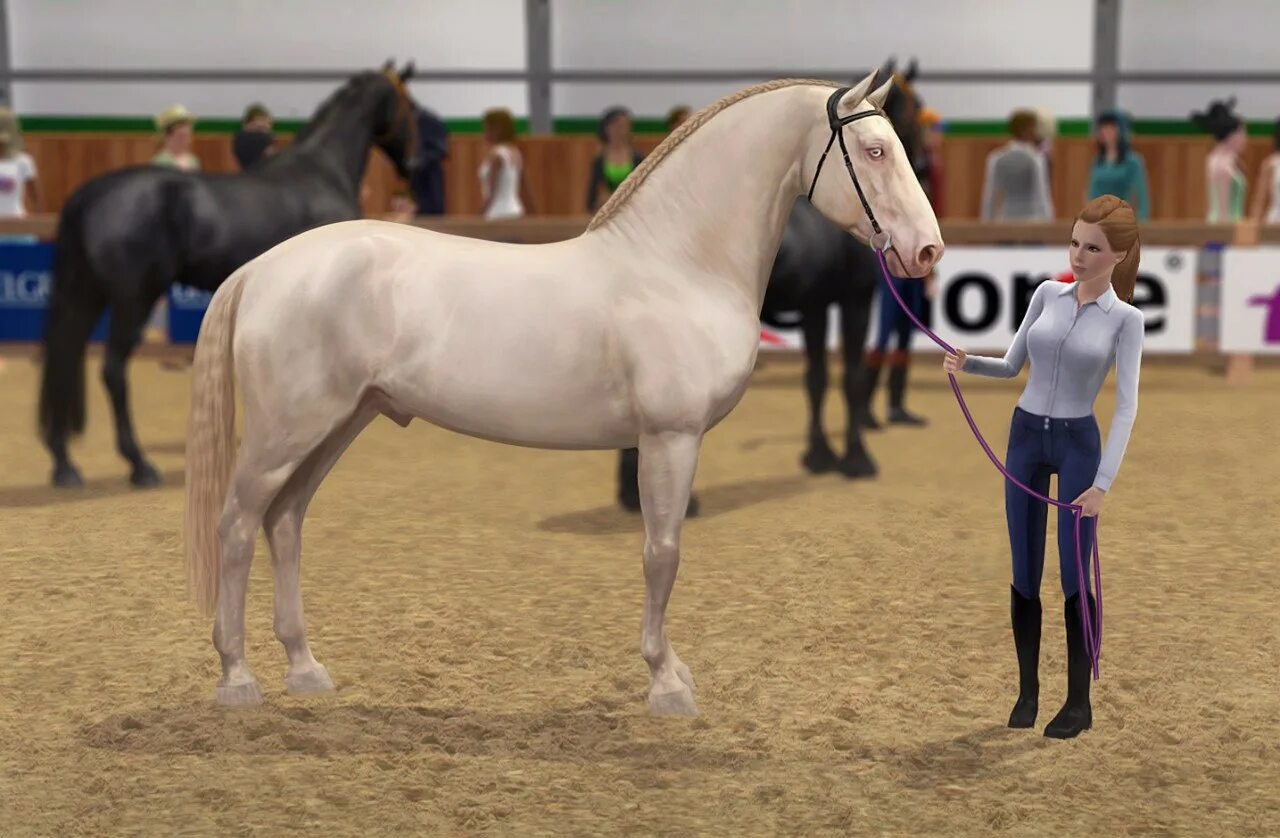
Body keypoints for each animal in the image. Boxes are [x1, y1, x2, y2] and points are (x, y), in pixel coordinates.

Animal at [38, 62, 421, 489]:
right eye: (411, 108)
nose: (416, 163)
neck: (322, 173)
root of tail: (89, 195)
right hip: (133, 298)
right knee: (112, 370)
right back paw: (139, 465)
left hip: (86, 294)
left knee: (65, 356)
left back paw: (64, 464)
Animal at [183, 74, 944, 718]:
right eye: (875, 149)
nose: (927, 252)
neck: (677, 264)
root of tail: (262, 268)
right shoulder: (669, 438)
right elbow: (662, 551)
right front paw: (666, 683)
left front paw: (672, 672)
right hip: (286, 431)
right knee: (237, 526)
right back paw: (237, 678)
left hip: (339, 422)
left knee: (285, 523)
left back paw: (305, 670)